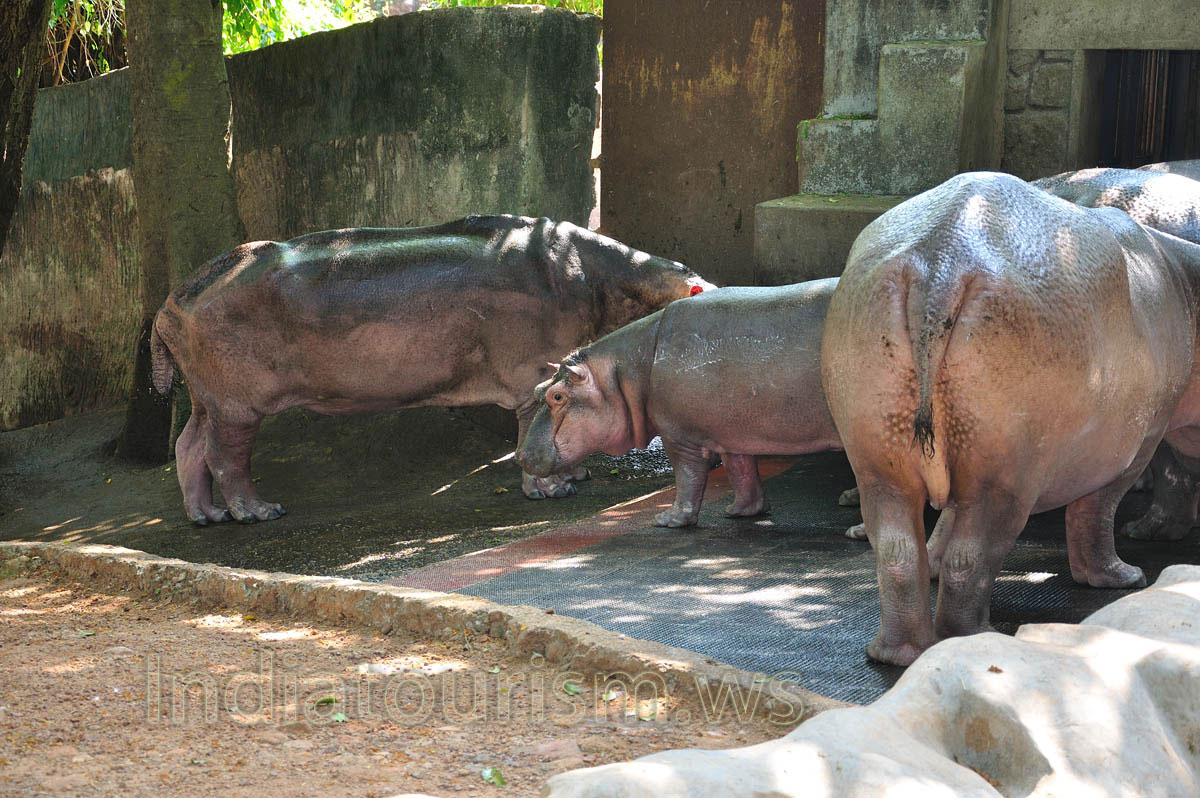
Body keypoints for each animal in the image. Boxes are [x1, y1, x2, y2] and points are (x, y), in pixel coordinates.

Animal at [150, 215, 713, 524]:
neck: (612, 279)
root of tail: (173, 298)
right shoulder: (533, 371)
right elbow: (530, 424)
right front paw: (554, 491)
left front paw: (575, 473)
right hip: (239, 405)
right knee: (226, 456)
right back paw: (259, 512)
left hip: (208, 397)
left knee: (189, 445)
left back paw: (206, 516)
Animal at [515, 280, 843, 528]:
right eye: (538, 388)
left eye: (557, 396)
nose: (519, 455)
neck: (623, 372)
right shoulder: (729, 431)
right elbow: (741, 470)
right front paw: (739, 511)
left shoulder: (679, 437)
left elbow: (688, 476)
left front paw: (668, 520)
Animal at [821, 171, 1200, 666]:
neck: (1187, 284)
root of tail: (938, 262)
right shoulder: (1139, 443)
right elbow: (1096, 511)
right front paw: (1123, 576)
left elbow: (946, 522)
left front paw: (933, 562)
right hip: (1008, 472)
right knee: (974, 556)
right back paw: (978, 638)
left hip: (882, 455)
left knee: (897, 551)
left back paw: (896, 653)